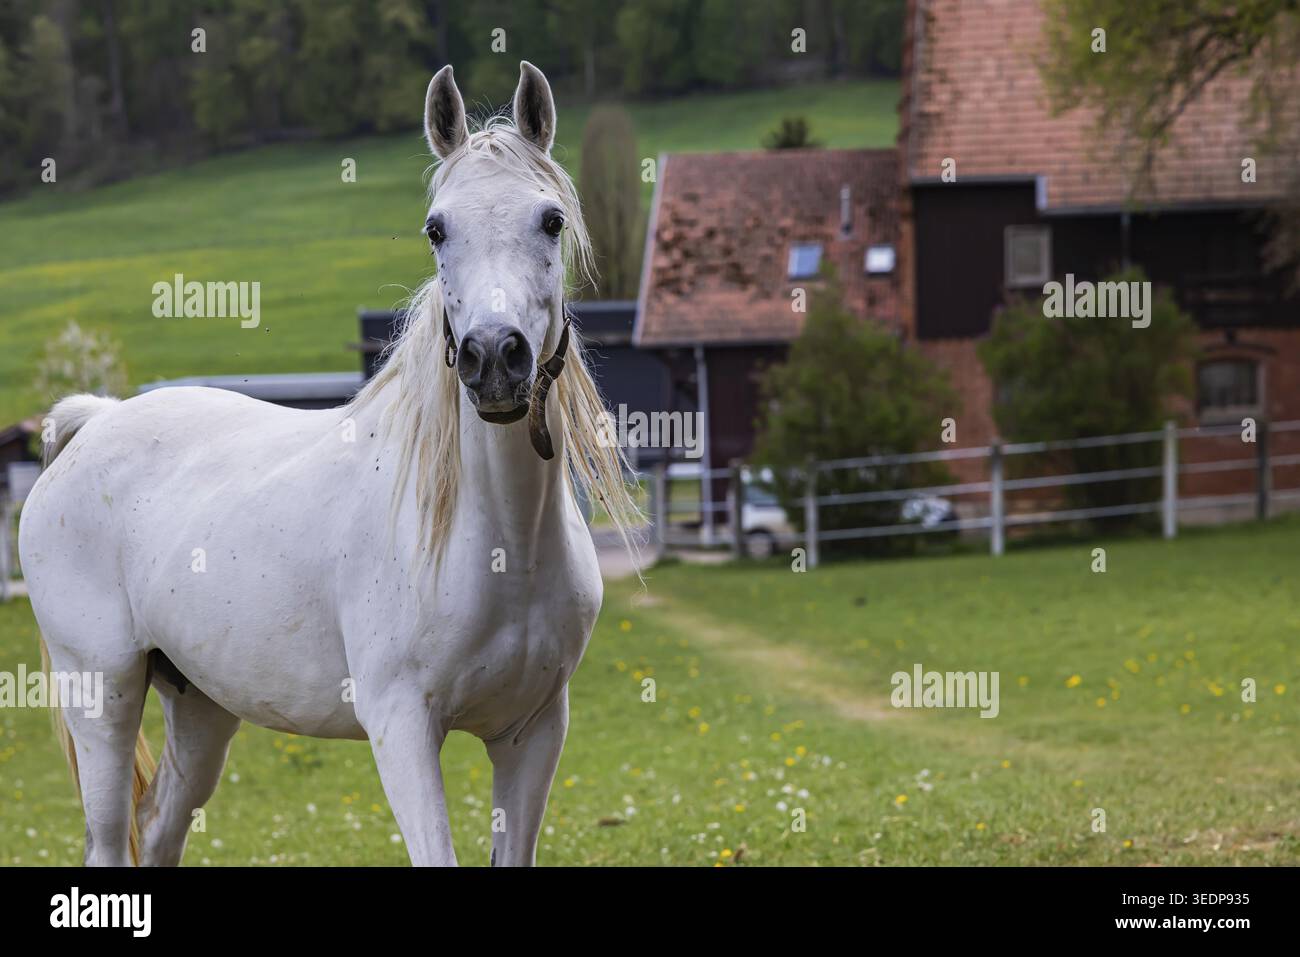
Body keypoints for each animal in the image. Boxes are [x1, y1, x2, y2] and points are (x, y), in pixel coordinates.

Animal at [18, 61, 638, 867]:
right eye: (436, 228)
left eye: (552, 220)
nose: (495, 359)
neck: (501, 543)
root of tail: (93, 422)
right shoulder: (402, 726)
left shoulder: (532, 732)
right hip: (103, 697)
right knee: (108, 840)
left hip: (201, 705)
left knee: (158, 828)